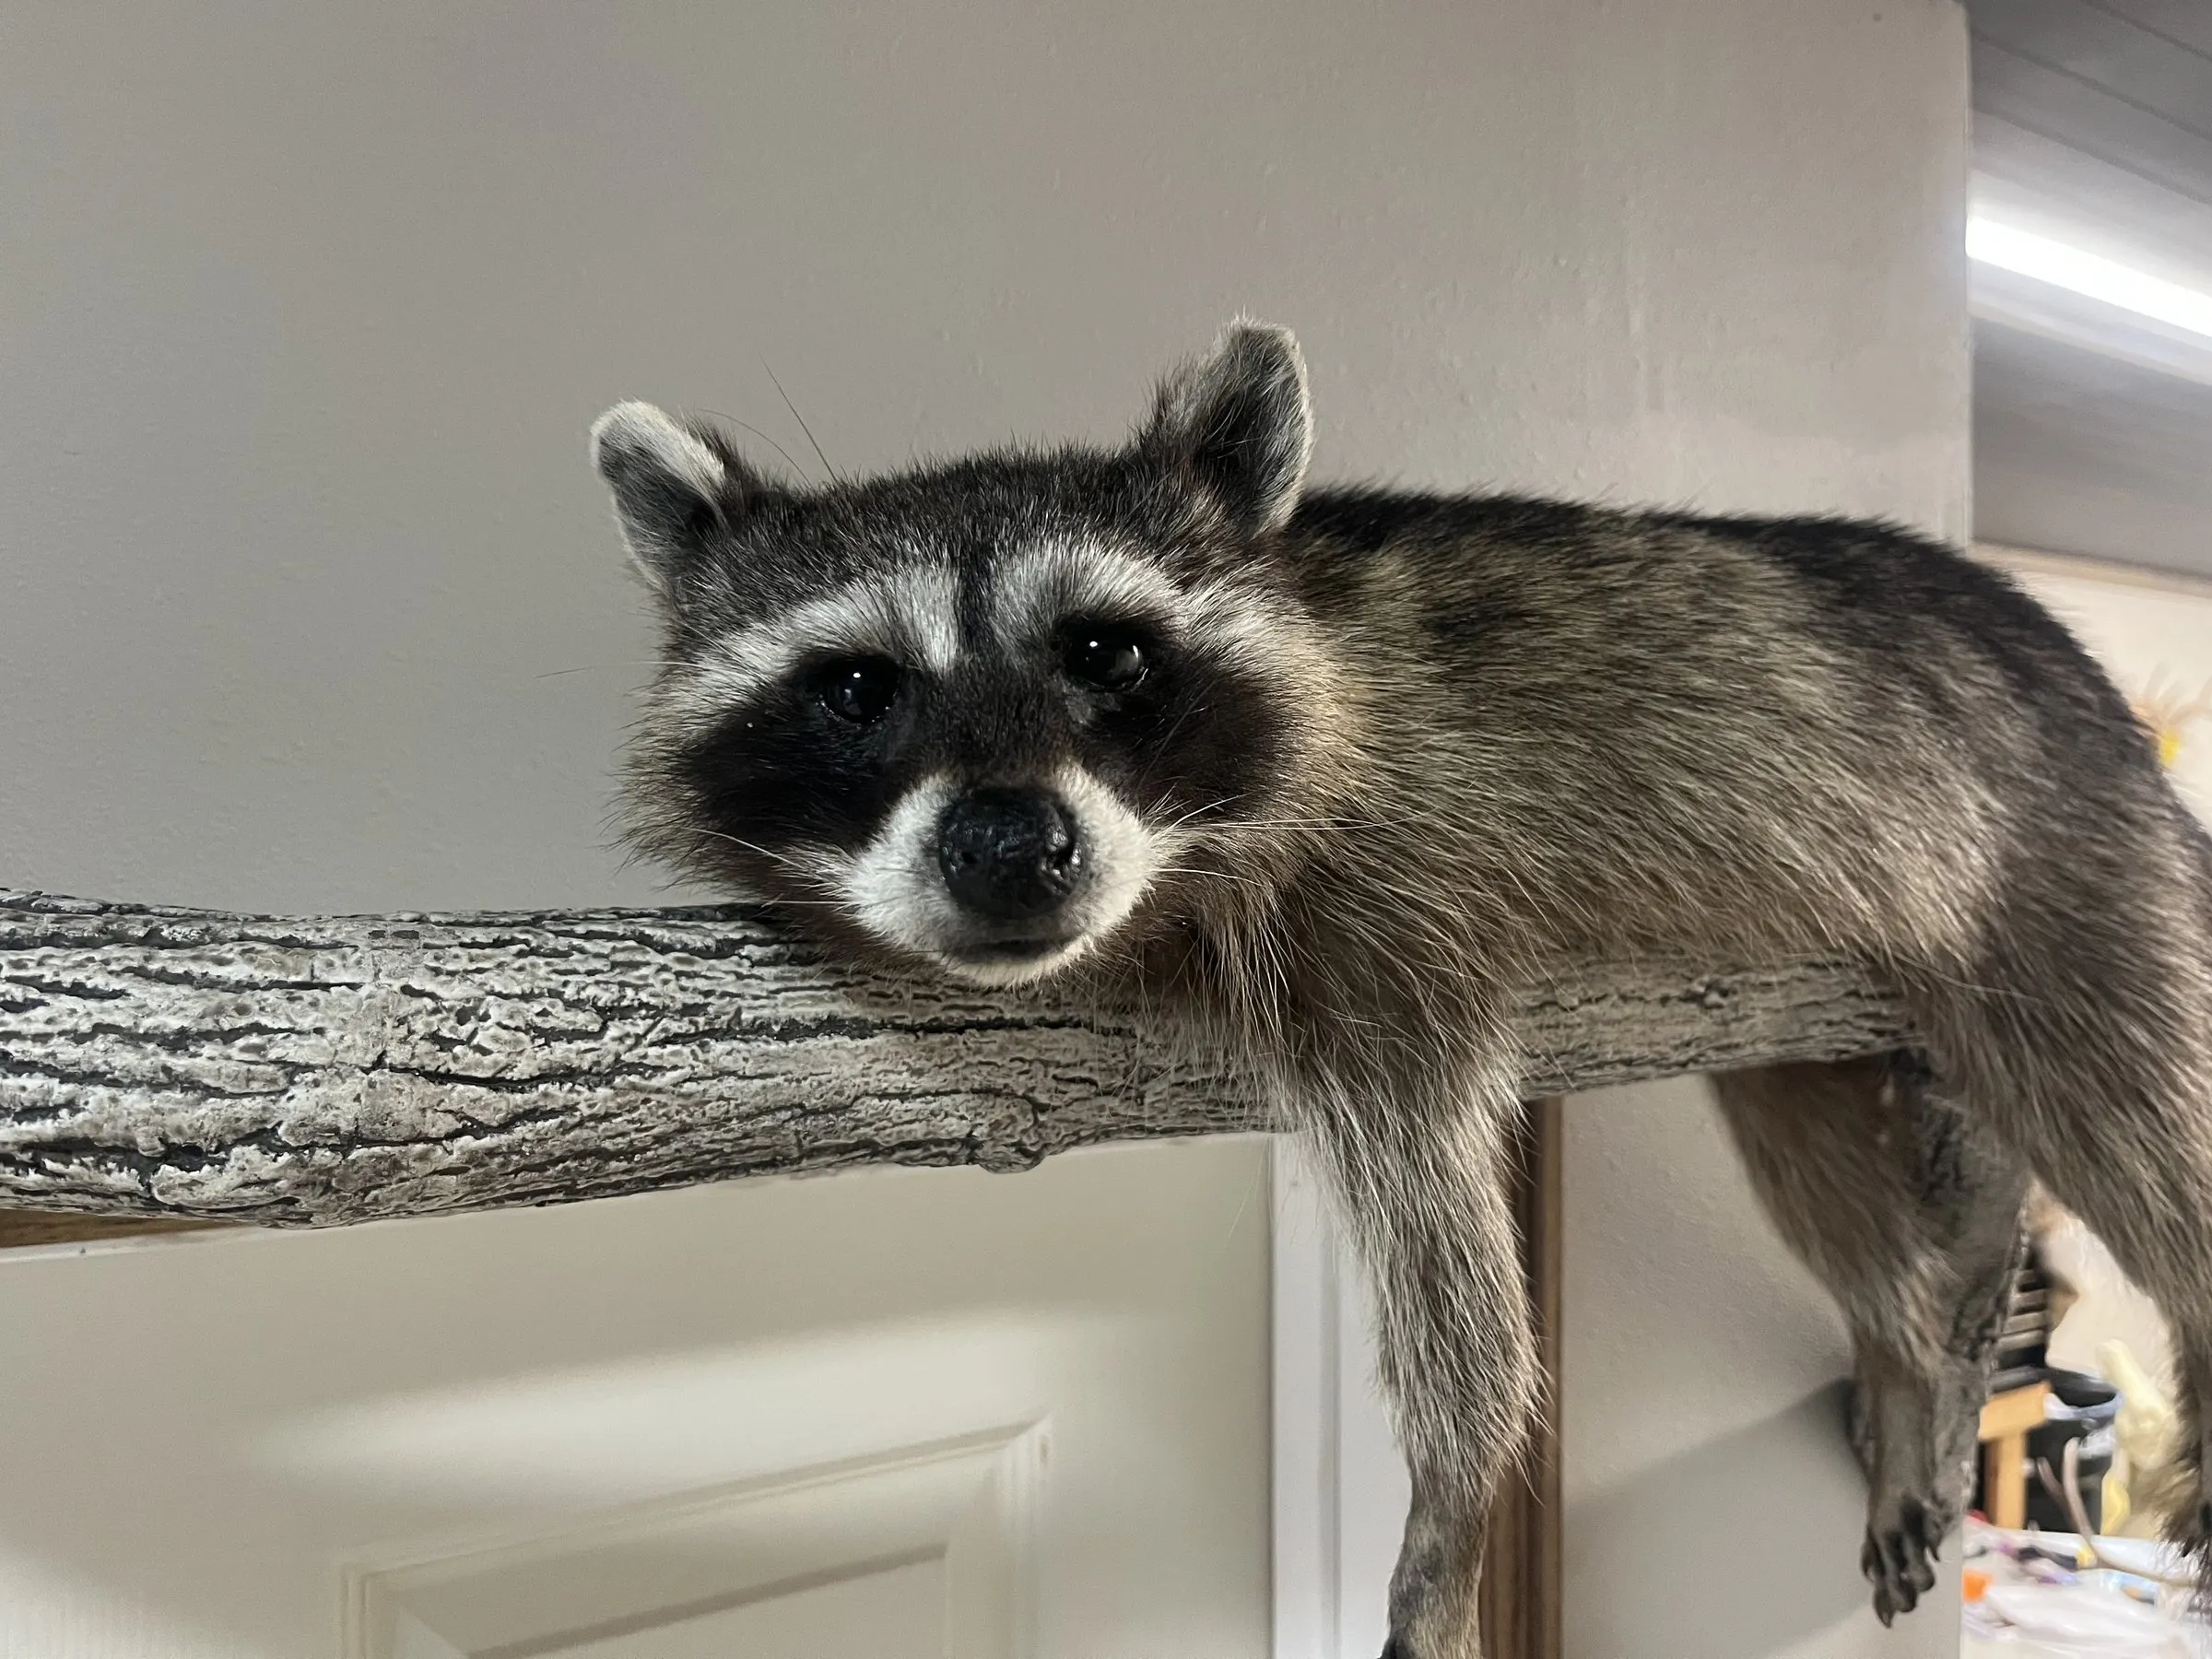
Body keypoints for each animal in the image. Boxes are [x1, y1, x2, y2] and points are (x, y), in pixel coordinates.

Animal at [593, 323, 2212, 1656]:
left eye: (1107, 651)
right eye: (858, 687)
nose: (1008, 849)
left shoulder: (1398, 915)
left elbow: (1463, 1295)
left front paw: (1453, 1503)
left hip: (2063, 861)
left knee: (2134, 1125)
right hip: (1812, 998)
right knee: (1818, 1156)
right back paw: (1914, 1355)